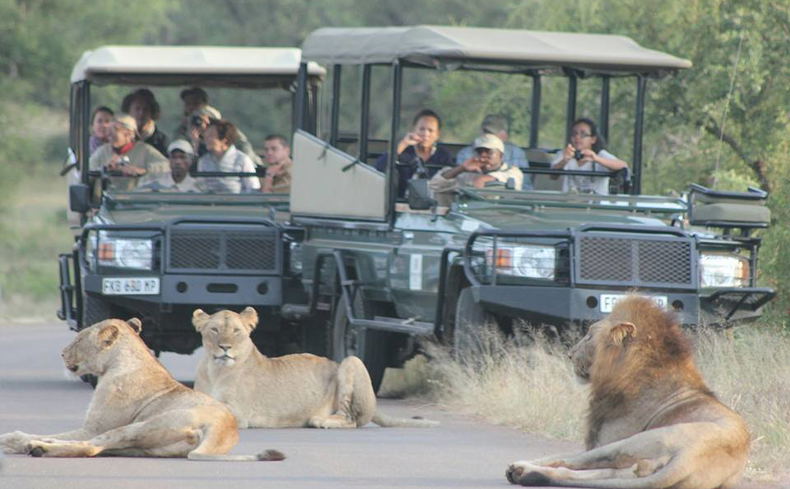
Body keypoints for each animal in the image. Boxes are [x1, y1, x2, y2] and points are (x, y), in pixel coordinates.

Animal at [0, 318, 283, 461]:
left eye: (79, 339)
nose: (61, 353)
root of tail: (225, 429)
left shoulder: (94, 426)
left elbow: (63, 434)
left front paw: (13, 437)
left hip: (139, 427)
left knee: (90, 447)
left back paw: (35, 446)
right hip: (141, 445)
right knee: (97, 447)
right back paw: (36, 445)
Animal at [192, 307, 437, 429]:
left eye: (236, 331)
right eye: (214, 330)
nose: (225, 347)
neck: (216, 371)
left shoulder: (241, 413)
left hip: (351, 361)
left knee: (351, 419)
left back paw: (320, 421)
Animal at [506, 295, 750, 489]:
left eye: (589, 336)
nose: (570, 354)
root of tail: (693, 456)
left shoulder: (604, 440)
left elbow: (566, 455)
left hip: (633, 441)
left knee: (572, 462)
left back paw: (520, 469)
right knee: (608, 473)